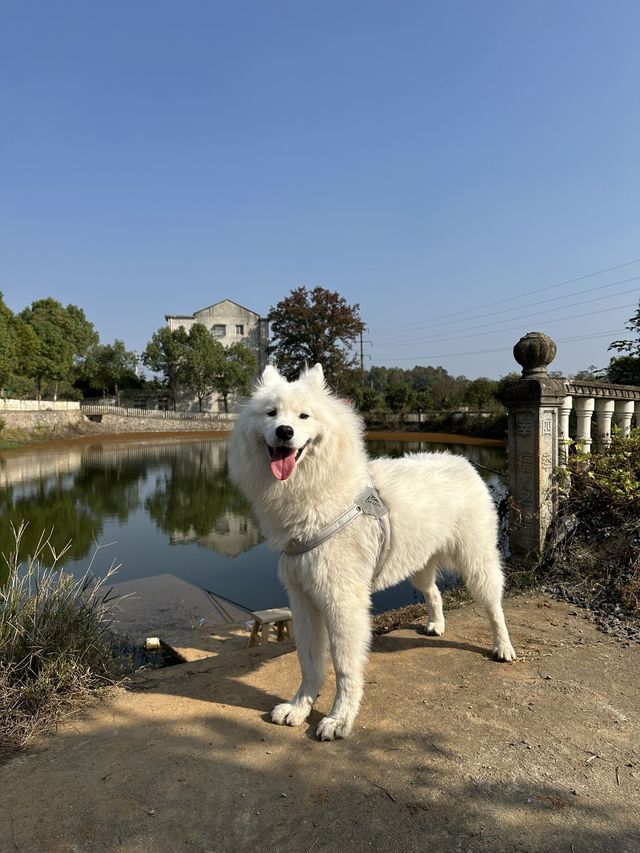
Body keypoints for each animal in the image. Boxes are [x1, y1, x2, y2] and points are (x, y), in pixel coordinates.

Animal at [229, 364, 516, 740]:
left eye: (304, 416)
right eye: (271, 413)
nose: (284, 432)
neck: (318, 497)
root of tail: (461, 461)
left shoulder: (342, 600)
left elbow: (345, 666)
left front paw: (339, 719)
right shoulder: (303, 598)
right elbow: (309, 661)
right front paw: (299, 708)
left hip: (476, 562)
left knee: (495, 606)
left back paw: (503, 648)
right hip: (420, 565)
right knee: (435, 593)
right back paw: (436, 625)